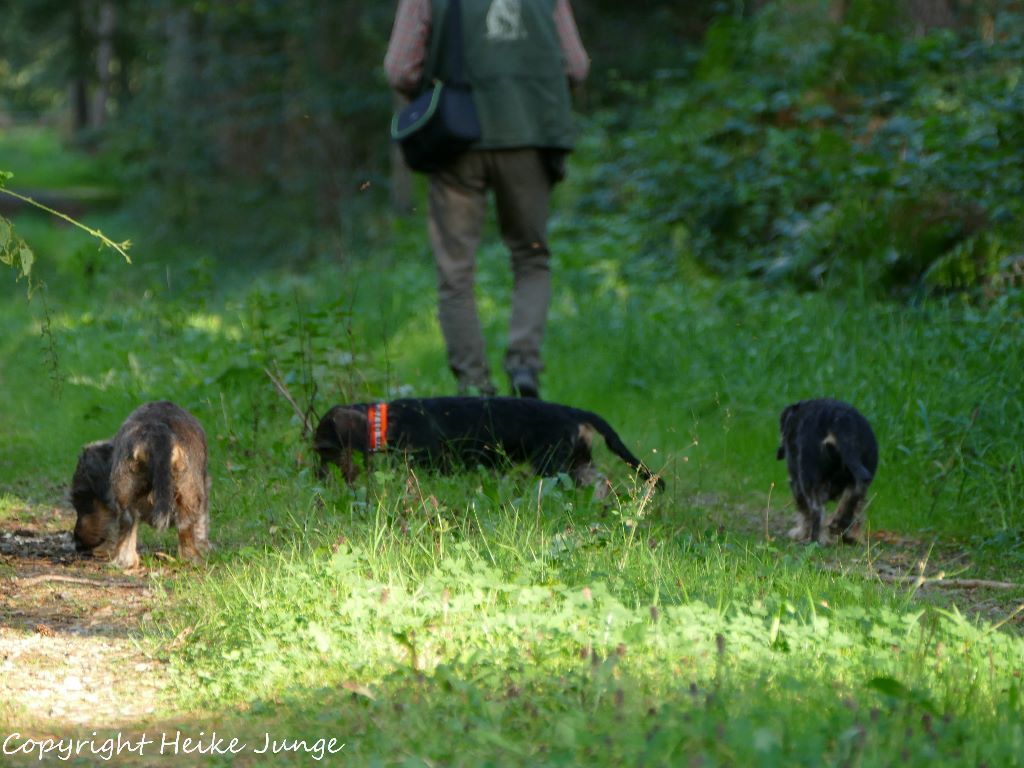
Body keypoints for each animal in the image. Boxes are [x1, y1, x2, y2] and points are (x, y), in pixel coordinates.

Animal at [313, 397, 663, 499]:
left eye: (323, 449)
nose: (320, 479)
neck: (387, 420)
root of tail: (576, 413)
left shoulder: (433, 463)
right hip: (578, 462)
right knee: (601, 482)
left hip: (552, 464)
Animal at [774, 397, 880, 548]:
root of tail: (842, 423)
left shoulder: (796, 483)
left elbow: (803, 512)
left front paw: (800, 533)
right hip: (859, 481)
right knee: (852, 505)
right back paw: (846, 532)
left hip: (808, 481)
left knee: (817, 513)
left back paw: (817, 539)